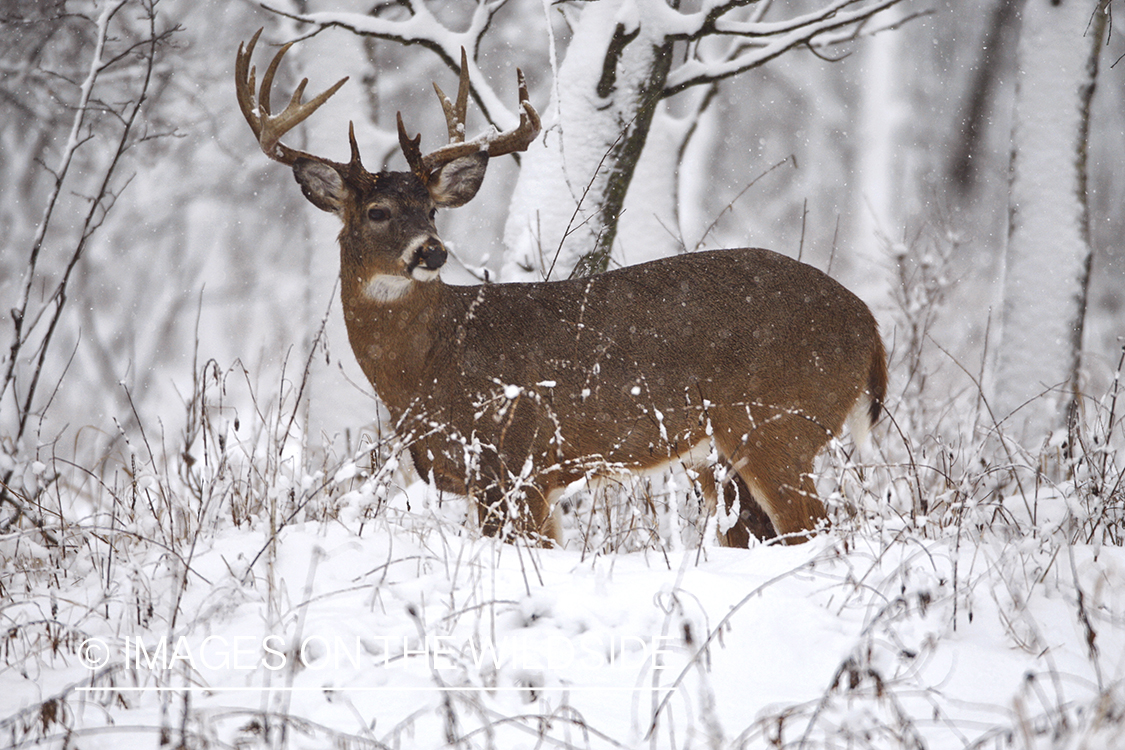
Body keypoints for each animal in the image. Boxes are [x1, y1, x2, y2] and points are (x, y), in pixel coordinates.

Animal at [237, 30, 886, 546]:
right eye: (377, 211)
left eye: (431, 209)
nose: (432, 251)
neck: (427, 366)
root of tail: (870, 327)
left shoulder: (518, 458)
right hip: (721, 455)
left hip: (780, 425)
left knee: (817, 530)